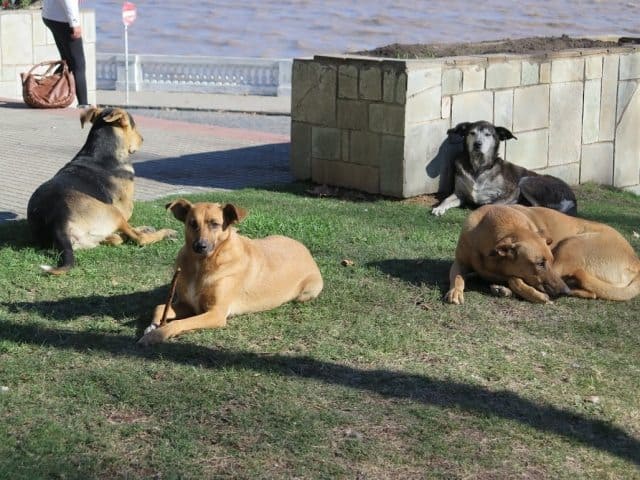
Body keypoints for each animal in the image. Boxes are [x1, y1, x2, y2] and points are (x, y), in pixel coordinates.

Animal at [27, 107, 176, 276]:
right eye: (134, 125)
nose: (143, 139)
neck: (99, 152)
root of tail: (58, 222)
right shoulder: (125, 208)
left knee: (118, 238)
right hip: (112, 212)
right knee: (138, 238)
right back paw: (165, 233)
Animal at [137, 199, 322, 344]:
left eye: (215, 224)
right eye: (192, 223)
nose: (200, 246)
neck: (201, 265)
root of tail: (305, 249)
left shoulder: (216, 313)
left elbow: (179, 323)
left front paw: (158, 334)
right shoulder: (187, 303)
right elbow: (159, 307)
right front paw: (152, 326)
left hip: (307, 292)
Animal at [432, 120, 576, 218]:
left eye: (488, 134)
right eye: (472, 133)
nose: (477, 144)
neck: (479, 168)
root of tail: (573, 200)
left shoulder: (512, 191)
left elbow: (490, 204)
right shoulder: (460, 194)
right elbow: (446, 199)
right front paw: (439, 208)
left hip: (526, 180)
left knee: (539, 208)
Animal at [444, 203, 640, 304]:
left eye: (548, 262)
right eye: (539, 263)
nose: (563, 291)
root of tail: (636, 262)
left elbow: (514, 278)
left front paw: (535, 295)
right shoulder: (460, 262)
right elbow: (457, 277)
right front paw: (455, 291)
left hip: (570, 246)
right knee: (592, 292)